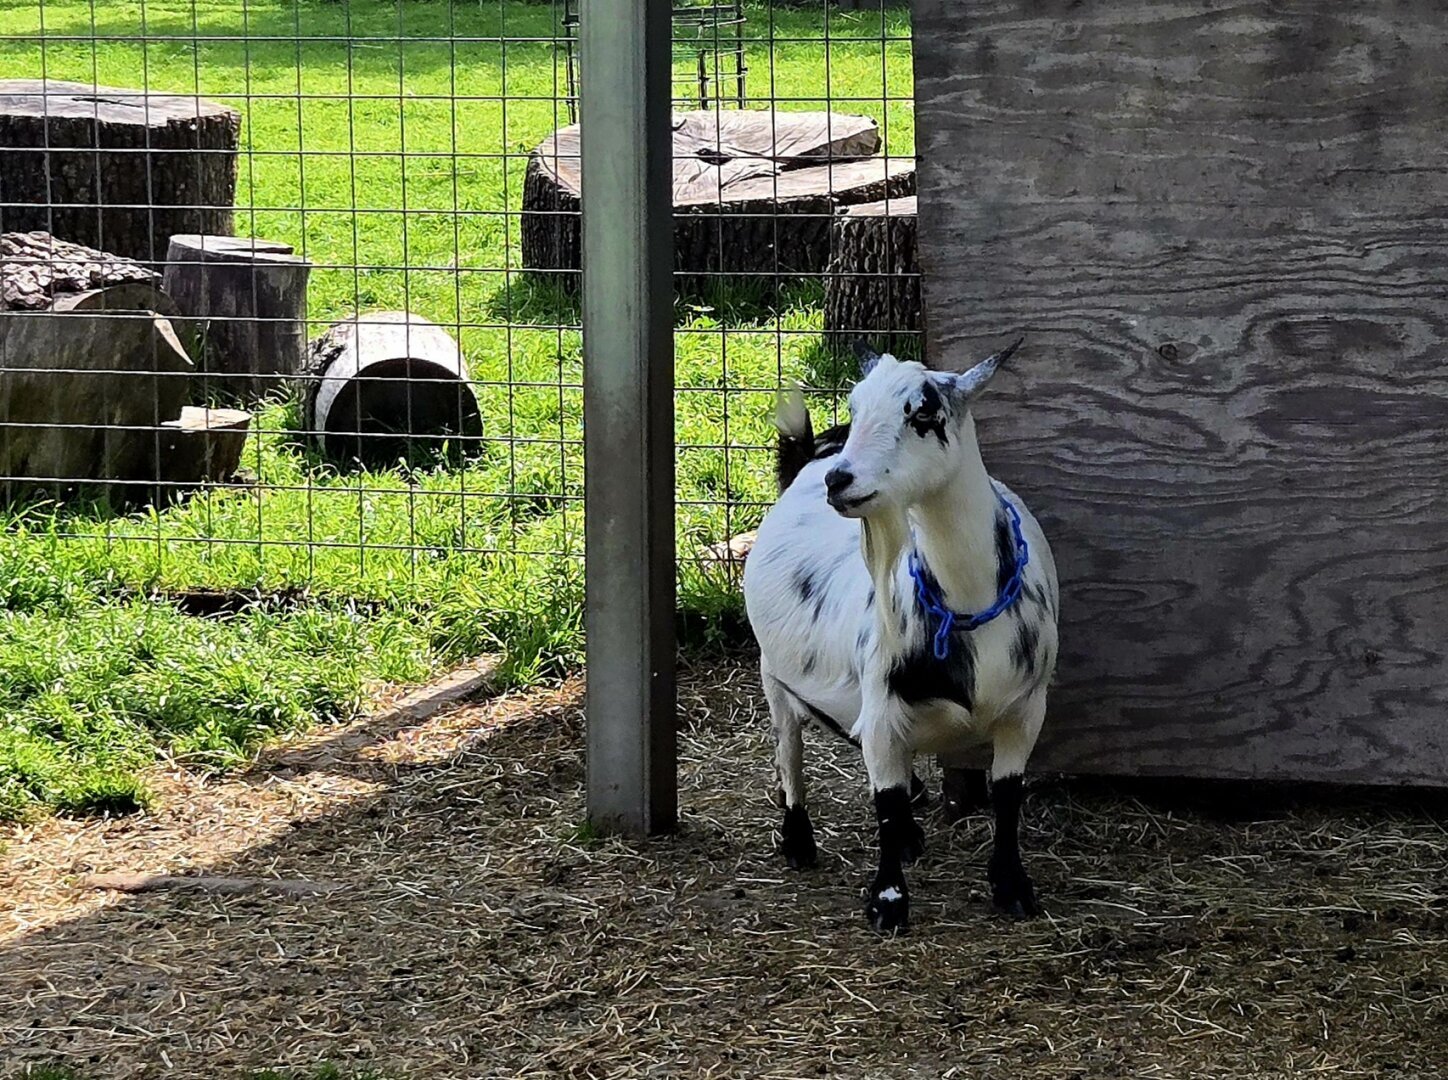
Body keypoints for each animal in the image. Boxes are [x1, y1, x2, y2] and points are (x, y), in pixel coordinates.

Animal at [742, 340, 1059, 933]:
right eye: (856, 402)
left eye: (924, 413)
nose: (839, 481)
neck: (965, 607)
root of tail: (812, 456)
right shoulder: (883, 708)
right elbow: (883, 803)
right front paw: (888, 903)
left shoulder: (1027, 709)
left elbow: (1007, 796)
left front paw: (1012, 888)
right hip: (773, 673)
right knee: (788, 751)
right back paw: (798, 840)